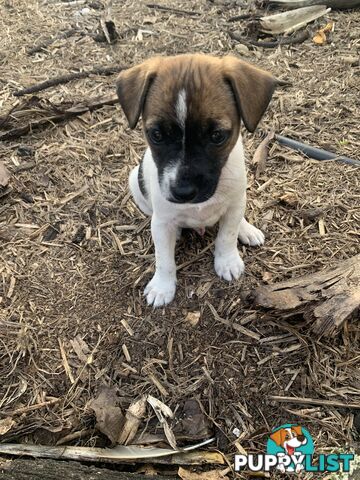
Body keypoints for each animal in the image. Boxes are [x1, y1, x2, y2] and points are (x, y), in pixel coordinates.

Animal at [116, 53, 278, 308]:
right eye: (156, 135)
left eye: (217, 136)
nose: (183, 192)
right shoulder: (162, 219)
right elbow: (163, 257)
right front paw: (162, 286)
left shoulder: (234, 202)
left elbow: (227, 235)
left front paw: (227, 261)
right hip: (135, 179)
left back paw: (246, 228)